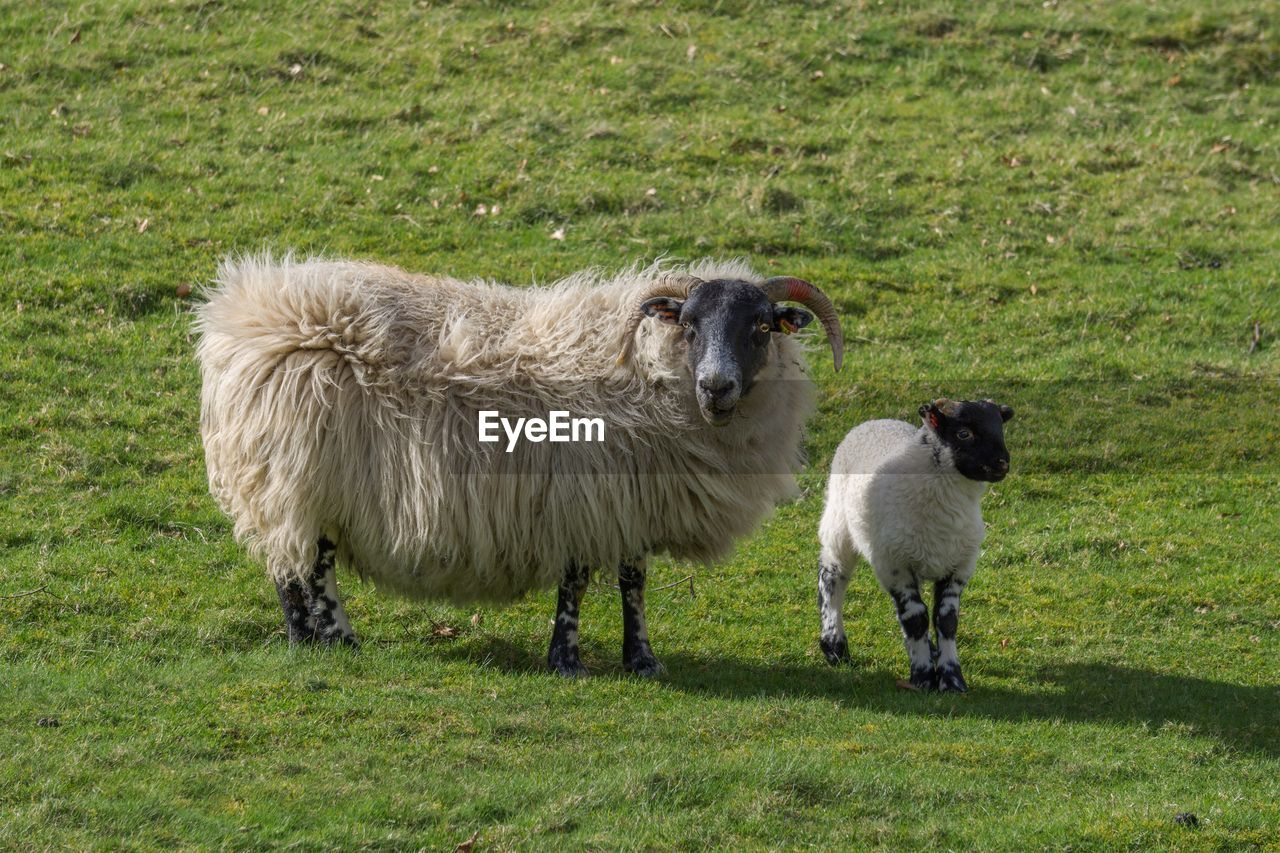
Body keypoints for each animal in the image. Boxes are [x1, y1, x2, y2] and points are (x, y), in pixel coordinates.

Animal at [196, 255, 844, 676]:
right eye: (687, 325)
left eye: (760, 326)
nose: (716, 386)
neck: (647, 368)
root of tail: (241, 310)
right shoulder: (586, 495)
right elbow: (578, 581)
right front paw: (567, 660)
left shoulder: (631, 500)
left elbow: (633, 582)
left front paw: (641, 660)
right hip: (295, 474)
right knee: (302, 563)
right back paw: (325, 641)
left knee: (301, 560)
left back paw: (319, 641)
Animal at [816, 398, 1013, 692]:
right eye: (963, 433)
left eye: (1000, 427)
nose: (1002, 463)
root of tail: (875, 420)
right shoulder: (894, 565)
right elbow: (916, 617)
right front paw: (922, 677)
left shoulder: (958, 566)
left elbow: (946, 620)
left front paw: (952, 679)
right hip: (839, 524)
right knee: (832, 577)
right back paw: (834, 645)